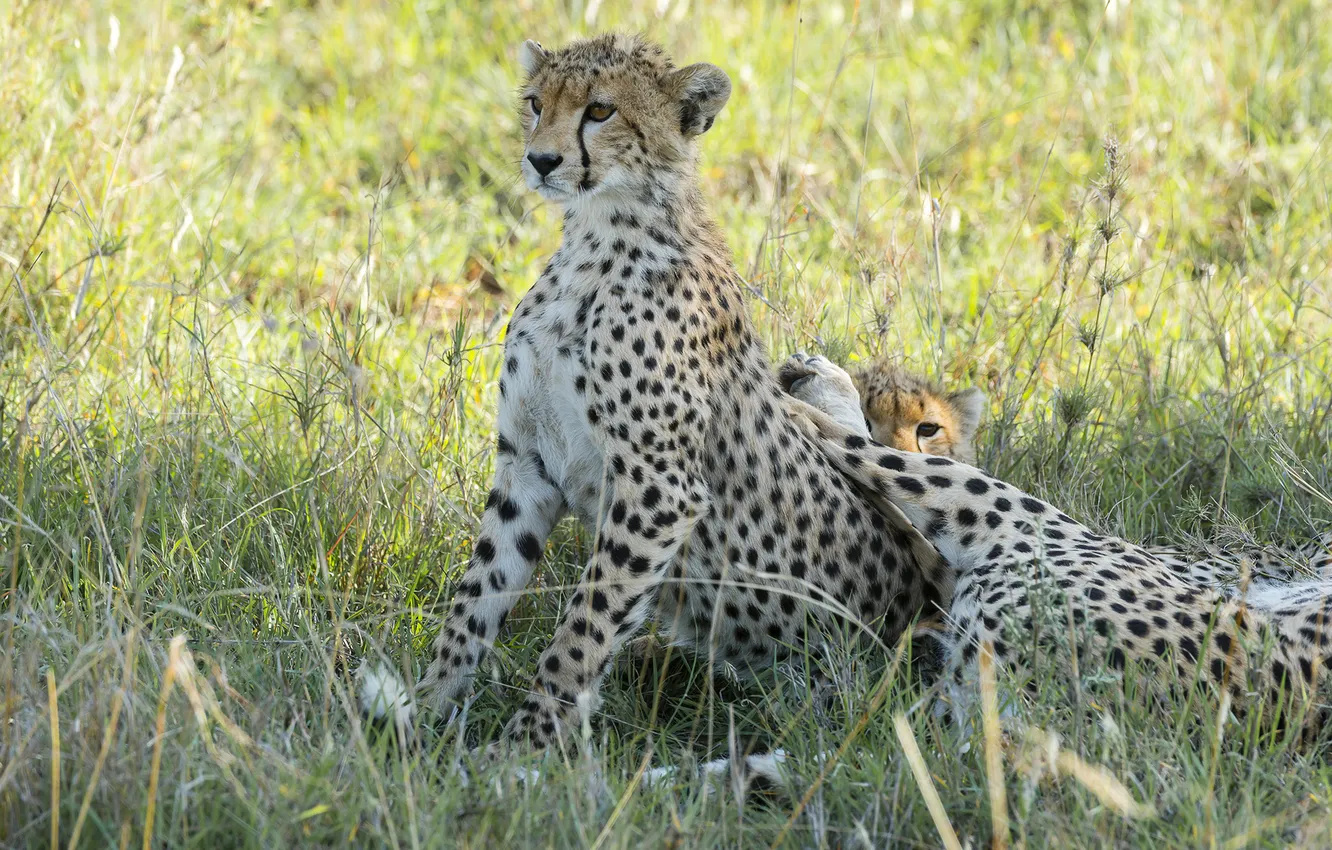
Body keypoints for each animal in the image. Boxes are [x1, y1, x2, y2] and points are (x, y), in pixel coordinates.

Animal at [415, 36, 948, 751]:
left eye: (601, 110)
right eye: (534, 104)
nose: (541, 159)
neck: (598, 238)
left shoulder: (659, 488)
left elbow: (584, 625)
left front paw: (525, 745)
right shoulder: (526, 463)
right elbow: (478, 594)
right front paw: (419, 713)